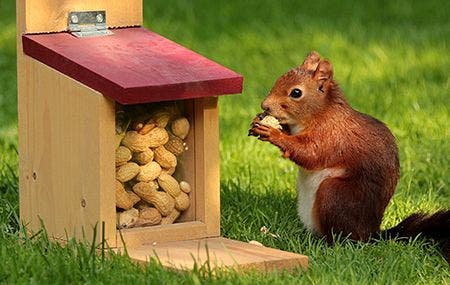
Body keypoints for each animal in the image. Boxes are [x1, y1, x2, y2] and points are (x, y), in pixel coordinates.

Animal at [250, 51, 450, 262]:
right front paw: (262, 121)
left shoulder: (331, 136)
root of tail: (371, 234)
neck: (320, 113)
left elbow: (310, 154)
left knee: (344, 238)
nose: (264, 106)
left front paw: (273, 133)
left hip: (335, 194)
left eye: (296, 93)